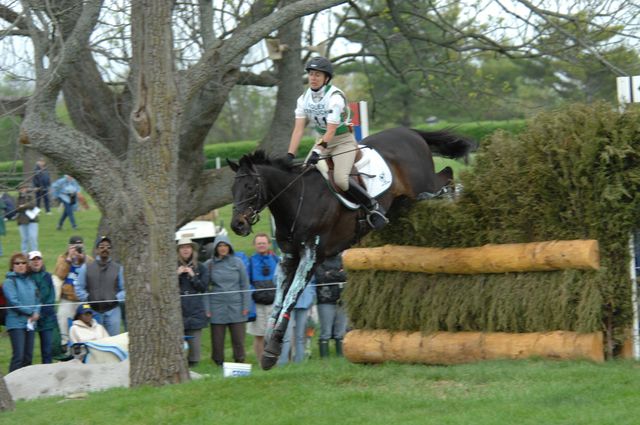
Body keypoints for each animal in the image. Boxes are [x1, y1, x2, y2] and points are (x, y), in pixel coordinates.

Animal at [228, 125, 472, 368]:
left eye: (250, 187)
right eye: (232, 190)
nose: (237, 225)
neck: (298, 199)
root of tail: (408, 131)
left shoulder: (311, 256)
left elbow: (291, 298)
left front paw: (272, 349)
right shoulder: (289, 257)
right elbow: (279, 299)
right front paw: (270, 347)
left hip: (422, 182)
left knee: (445, 176)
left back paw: (454, 195)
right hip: (403, 199)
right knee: (441, 179)